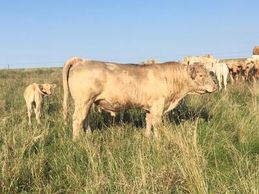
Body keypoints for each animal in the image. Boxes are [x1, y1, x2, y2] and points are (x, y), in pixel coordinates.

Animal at [63, 56, 219, 140]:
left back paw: (88, 135)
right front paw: (158, 140)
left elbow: (148, 121)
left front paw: (147, 137)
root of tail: (81, 61)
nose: (215, 86)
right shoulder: (158, 106)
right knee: (77, 119)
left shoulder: (150, 107)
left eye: (209, 72)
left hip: (88, 103)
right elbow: (157, 124)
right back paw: (76, 140)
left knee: (85, 119)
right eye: (201, 75)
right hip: (83, 101)